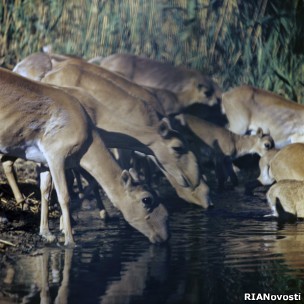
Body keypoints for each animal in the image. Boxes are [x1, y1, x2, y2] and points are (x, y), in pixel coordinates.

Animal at [0, 67, 169, 246]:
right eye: (146, 199)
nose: (165, 236)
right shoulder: (56, 158)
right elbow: (64, 196)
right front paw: (70, 240)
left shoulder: (44, 162)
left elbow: (45, 192)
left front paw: (46, 233)